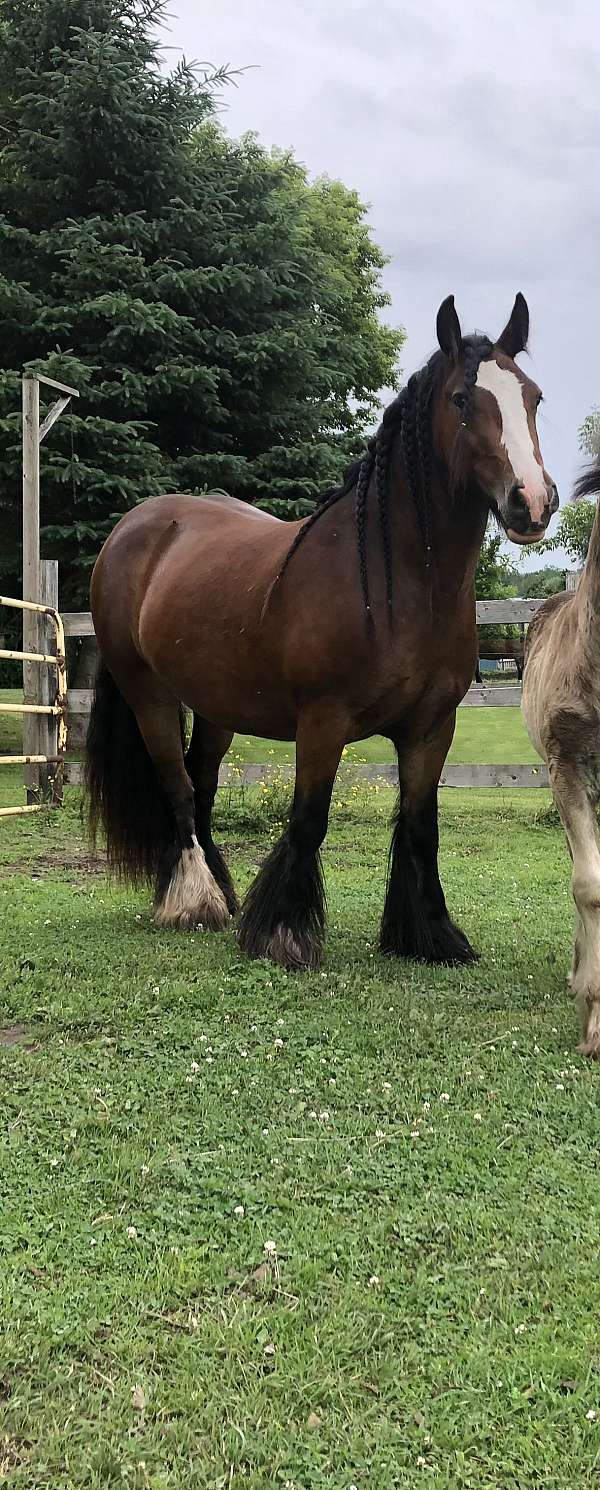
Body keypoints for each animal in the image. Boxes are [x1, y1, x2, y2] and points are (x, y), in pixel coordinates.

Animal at [85, 293, 559, 965]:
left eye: (533, 397)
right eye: (462, 400)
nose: (532, 502)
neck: (394, 583)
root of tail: (133, 528)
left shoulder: (432, 728)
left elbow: (422, 827)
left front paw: (428, 934)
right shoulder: (322, 722)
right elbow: (309, 820)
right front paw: (284, 934)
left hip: (217, 707)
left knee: (201, 788)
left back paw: (220, 895)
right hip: (148, 694)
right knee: (177, 790)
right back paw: (191, 902)